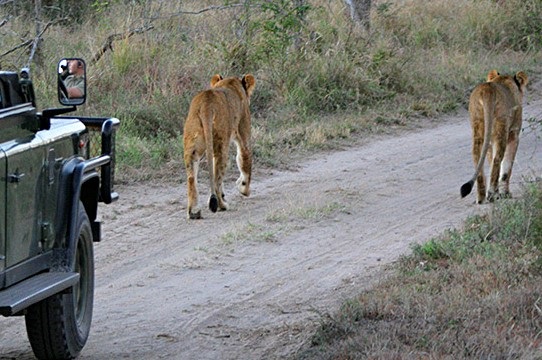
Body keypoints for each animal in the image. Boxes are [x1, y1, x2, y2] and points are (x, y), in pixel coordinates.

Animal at [184, 73, 256, 219]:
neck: (230, 82)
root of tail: (206, 104)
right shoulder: (244, 133)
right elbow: (245, 160)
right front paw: (244, 189)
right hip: (222, 145)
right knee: (217, 179)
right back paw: (222, 205)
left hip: (192, 145)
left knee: (191, 178)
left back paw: (194, 212)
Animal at [462, 69, 528, 204]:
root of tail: (487, 90)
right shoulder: (514, 135)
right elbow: (506, 166)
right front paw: (505, 193)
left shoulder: (490, 141)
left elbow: (489, 159)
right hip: (501, 129)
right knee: (497, 160)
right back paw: (492, 194)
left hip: (478, 126)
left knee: (477, 157)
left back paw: (481, 197)